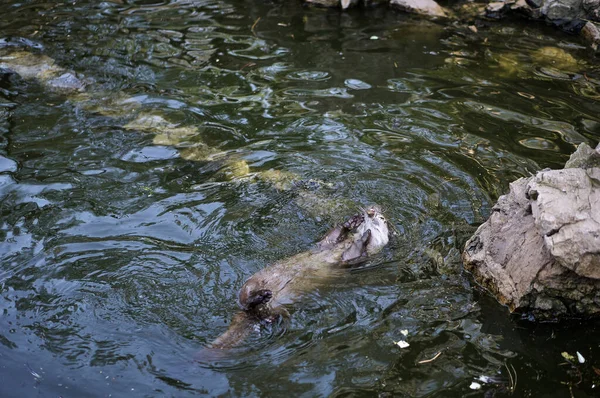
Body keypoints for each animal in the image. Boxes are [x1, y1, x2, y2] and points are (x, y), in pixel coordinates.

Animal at [210, 207, 390, 350]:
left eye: (383, 220)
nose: (372, 211)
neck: (342, 247)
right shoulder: (327, 244)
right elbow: (331, 236)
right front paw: (352, 222)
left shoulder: (354, 260)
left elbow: (353, 253)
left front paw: (365, 236)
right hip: (252, 281)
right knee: (245, 299)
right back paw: (262, 295)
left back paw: (264, 300)